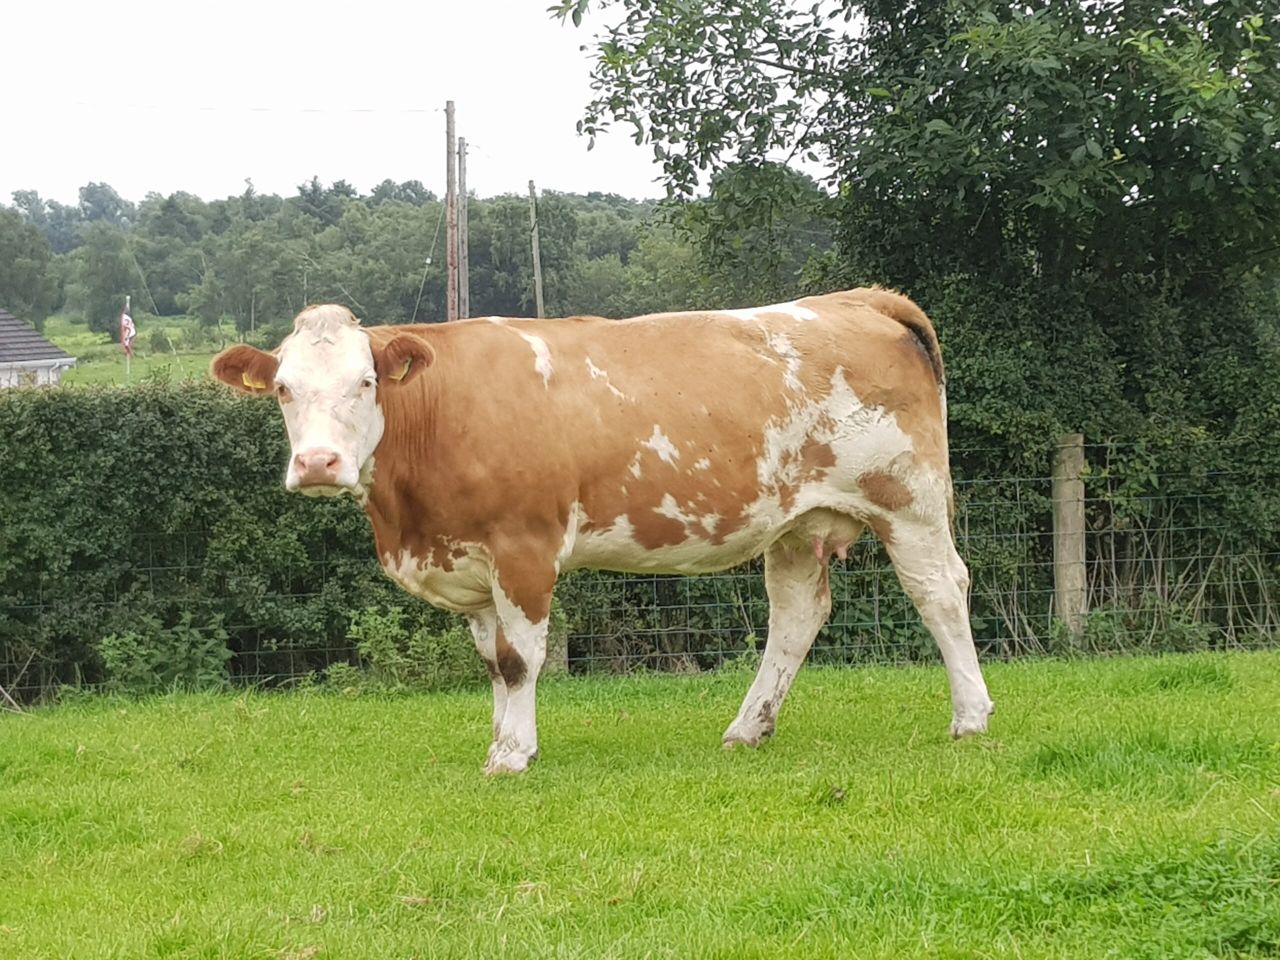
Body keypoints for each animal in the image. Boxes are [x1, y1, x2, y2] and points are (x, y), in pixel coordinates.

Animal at [211, 289, 994, 773]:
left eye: (366, 384)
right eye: (283, 389)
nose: (318, 463)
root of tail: (854, 298)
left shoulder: (523, 549)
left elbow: (521, 659)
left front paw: (514, 756)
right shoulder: (470, 566)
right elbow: (492, 661)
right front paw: (504, 740)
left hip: (908, 501)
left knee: (940, 593)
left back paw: (971, 717)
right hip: (797, 524)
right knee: (797, 616)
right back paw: (748, 727)